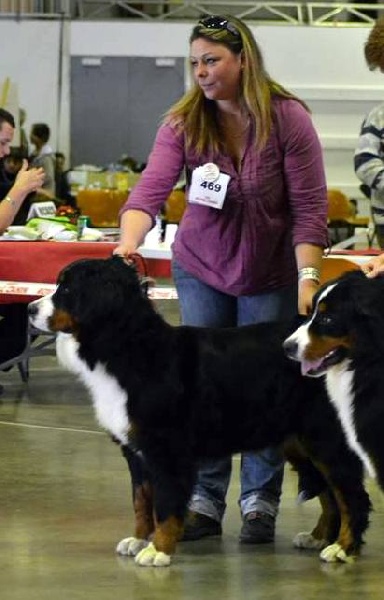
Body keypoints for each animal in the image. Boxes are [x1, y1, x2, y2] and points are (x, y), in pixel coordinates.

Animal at [28, 258, 370, 568]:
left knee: (351, 496)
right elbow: (141, 500)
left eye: (67, 289)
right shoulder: (135, 449)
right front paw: (138, 538)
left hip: (325, 439)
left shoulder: (166, 449)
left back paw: (343, 548)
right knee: (330, 494)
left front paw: (158, 550)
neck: (128, 348)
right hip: (300, 442)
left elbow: (166, 504)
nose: (30, 309)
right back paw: (319, 537)